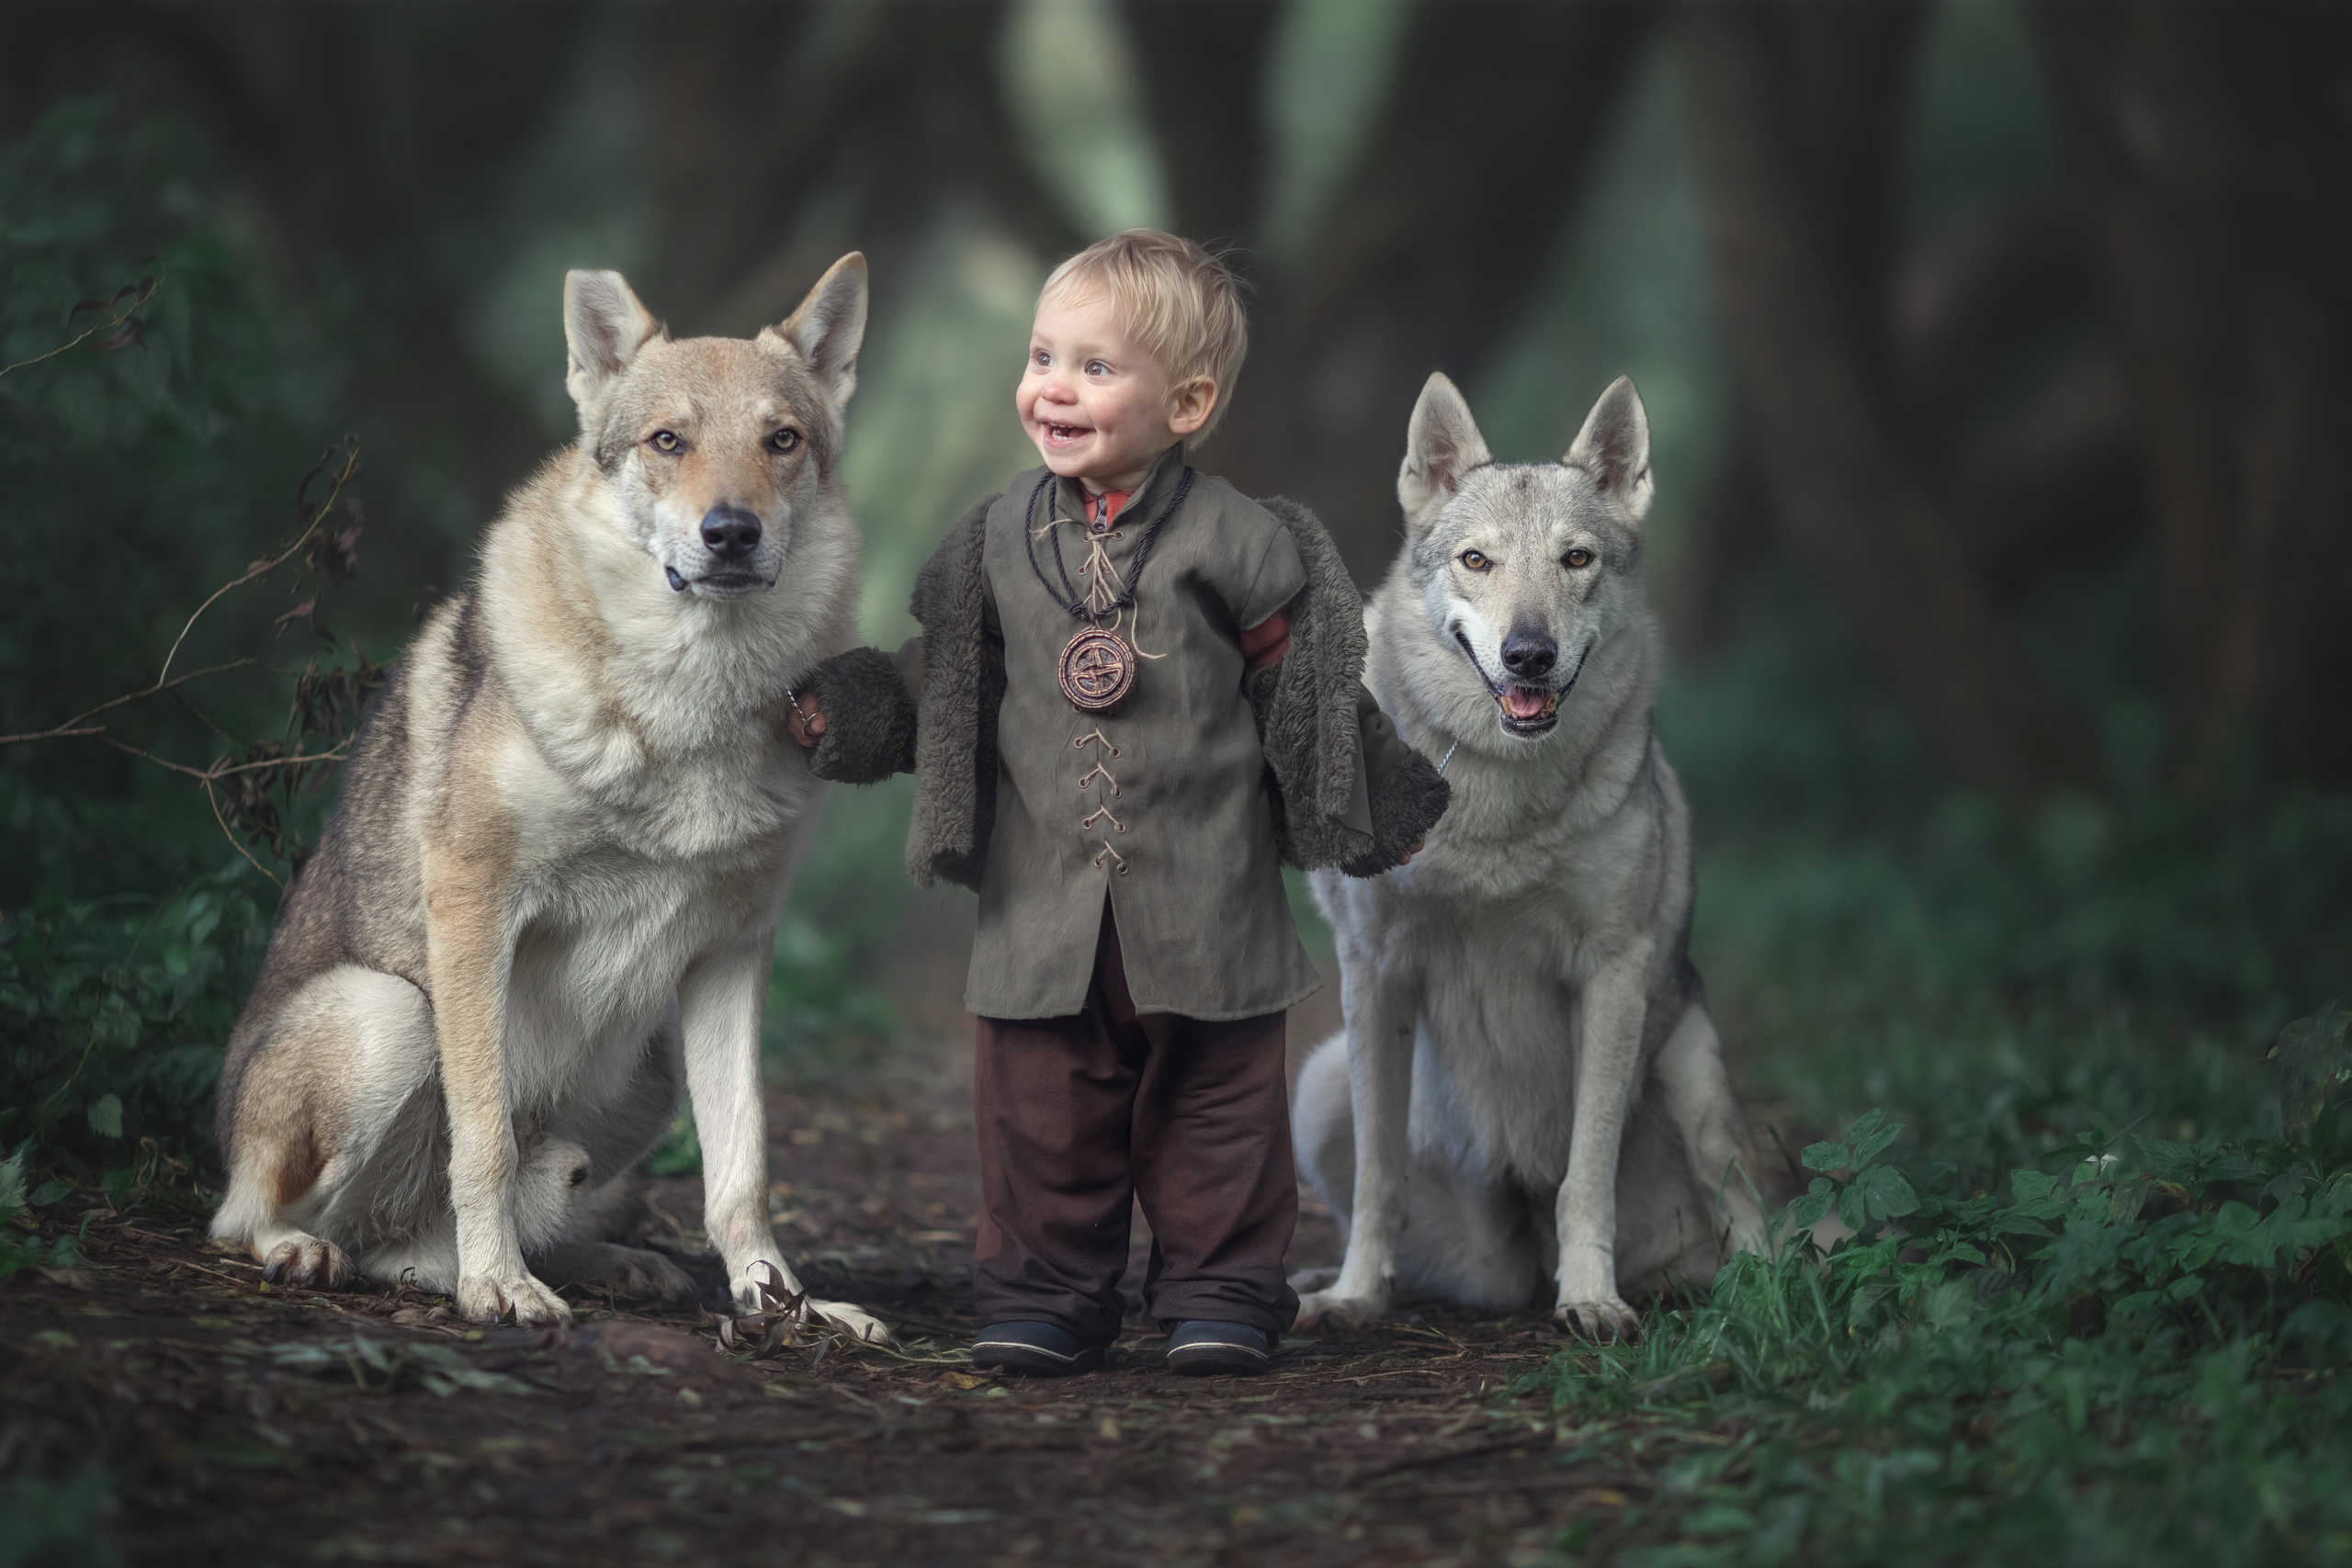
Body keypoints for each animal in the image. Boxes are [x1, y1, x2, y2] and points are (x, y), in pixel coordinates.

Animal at [208, 257, 889, 1338]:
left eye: (780, 440)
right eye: (668, 441)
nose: (730, 533)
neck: (684, 705)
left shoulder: (734, 950)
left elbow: (742, 1170)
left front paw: (784, 1303)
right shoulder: (475, 902)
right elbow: (483, 1139)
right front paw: (499, 1287)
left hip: (650, 1067)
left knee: (424, 1248)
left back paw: (605, 1265)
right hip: (389, 1017)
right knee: (249, 1219)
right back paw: (325, 1254)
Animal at [1291, 373, 1765, 1340]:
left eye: (1576, 559)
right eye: (1478, 561)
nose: (1529, 654)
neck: (1492, 794)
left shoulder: (1613, 973)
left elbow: (1586, 1175)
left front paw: (1591, 1299)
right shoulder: (1373, 972)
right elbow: (1378, 1174)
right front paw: (1354, 1296)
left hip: (1697, 1071)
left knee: (1771, 1235)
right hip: (1320, 1081)